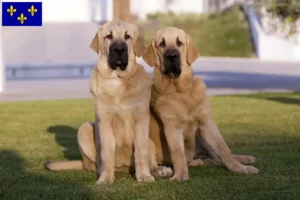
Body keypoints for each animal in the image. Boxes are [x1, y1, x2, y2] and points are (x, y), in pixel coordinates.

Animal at [46, 20, 157, 184]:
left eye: (127, 36)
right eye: (108, 36)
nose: (119, 49)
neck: (117, 80)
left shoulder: (141, 120)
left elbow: (141, 151)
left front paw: (144, 175)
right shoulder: (104, 121)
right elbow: (107, 153)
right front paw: (106, 178)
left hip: (151, 139)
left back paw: (159, 169)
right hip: (84, 129)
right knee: (92, 164)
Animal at [143, 27, 258, 181]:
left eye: (179, 42)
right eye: (162, 44)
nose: (172, 56)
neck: (181, 91)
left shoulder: (206, 123)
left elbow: (224, 149)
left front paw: (241, 168)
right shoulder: (172, 127)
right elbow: (178, 153)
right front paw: (180, 176)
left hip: (201, 138)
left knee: (217, 156)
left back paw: (245, 158)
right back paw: (162, 169)